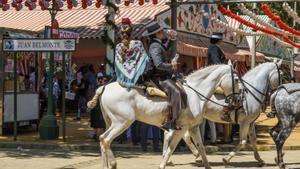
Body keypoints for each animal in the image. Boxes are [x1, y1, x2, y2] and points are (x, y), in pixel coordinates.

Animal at [88, 64, 238, 169]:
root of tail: (104, 87)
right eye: (236, 79)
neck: (195, 93)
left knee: (103, 139)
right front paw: (163, 164)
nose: (237, 98)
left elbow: (201, 147)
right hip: (122, 122)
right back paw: (112, 163)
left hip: (111, 122)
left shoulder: (193, 127)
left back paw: (108, 165)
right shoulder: (182, 128)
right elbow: (172, 147)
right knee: (106, 139)